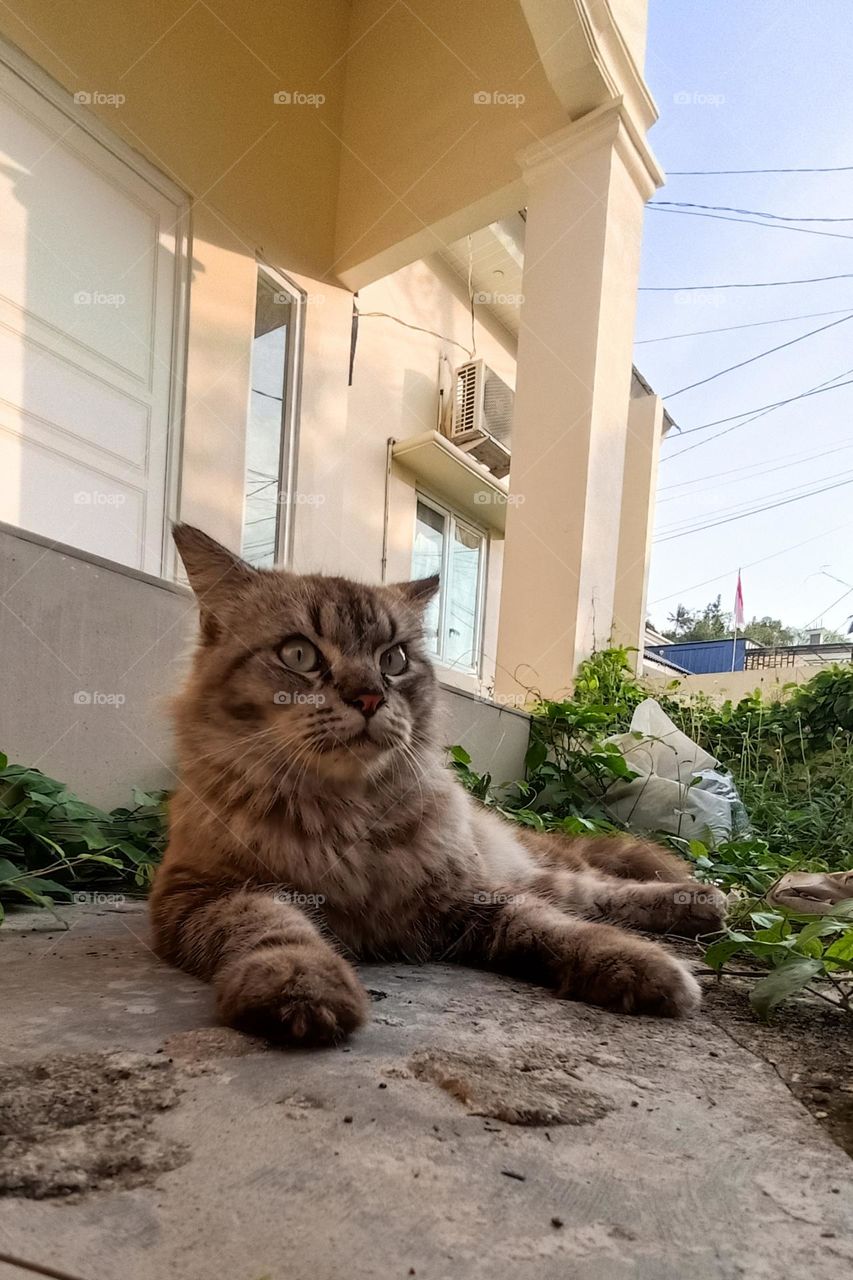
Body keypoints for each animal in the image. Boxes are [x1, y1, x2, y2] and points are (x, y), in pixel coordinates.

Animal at [149, 524, 722, 1044]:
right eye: (298, 655)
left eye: (393, 660)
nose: (369, 697)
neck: (343, 816)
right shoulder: (205, 894)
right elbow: (273, 928)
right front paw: (302, 985)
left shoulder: (471, 895)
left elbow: (556, 928)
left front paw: (641, 965)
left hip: (528, 869)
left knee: (596, 890)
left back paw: (701, 900)